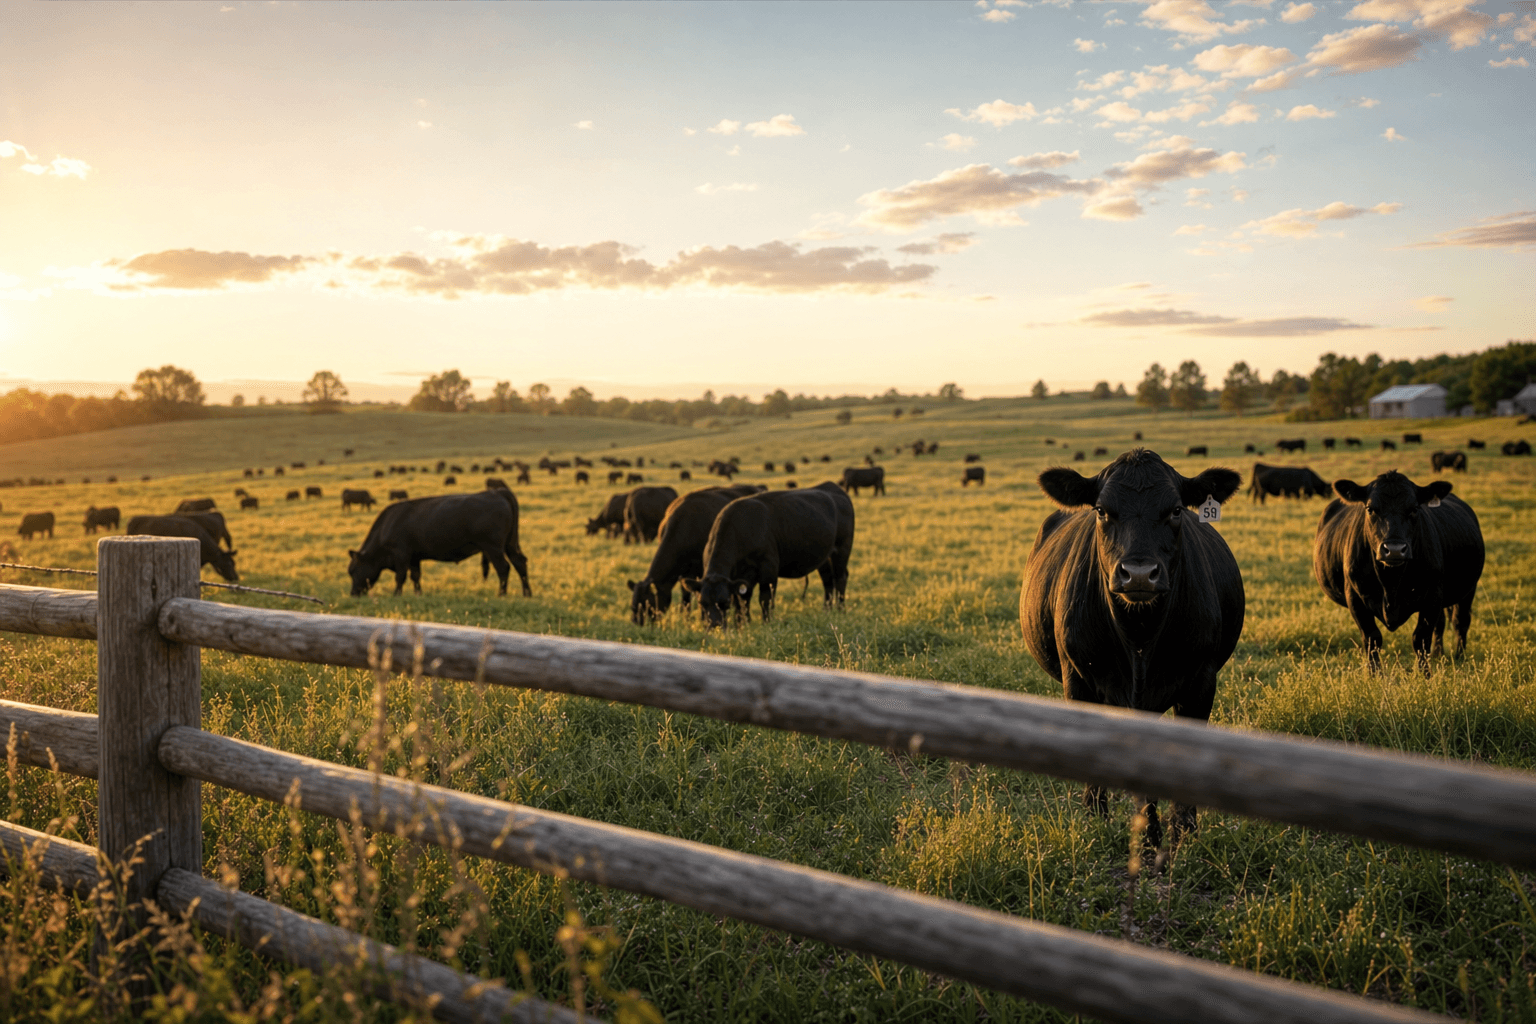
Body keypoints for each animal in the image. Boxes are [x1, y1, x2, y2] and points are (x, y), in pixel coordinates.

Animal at [347, 490, 531, 598]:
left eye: (353, 571)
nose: (353, 593)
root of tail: (496, 492)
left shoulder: (401, 554)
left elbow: (400, 576)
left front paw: (396, 594)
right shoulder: (414, 557)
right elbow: (415, 576)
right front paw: (418, 594)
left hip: (493, 547)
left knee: (503, 568)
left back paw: (502, 594)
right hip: (510, 544)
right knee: (520, 563)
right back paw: (527, 593)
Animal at [628, 484, 764, 624]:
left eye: (647, 605)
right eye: (633, 606)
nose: (636, 623)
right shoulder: (684, 574)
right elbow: (686, 595)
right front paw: (686, 618)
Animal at [682, 483, 855, 628]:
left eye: (725, 602)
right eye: (702, 603)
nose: (715, 626)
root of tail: (834, 487)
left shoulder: (768, 568)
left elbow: (765, 599)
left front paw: (766, 624)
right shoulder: (740, 576)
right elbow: (742, 600)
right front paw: (742, 625)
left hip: (842, 550)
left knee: (840, 578)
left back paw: (841, 611)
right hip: (824, 557)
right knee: (828, 581)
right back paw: (827, 611)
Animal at [1020, 449, 1244, 850]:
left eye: (1175, 510)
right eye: (1101, 510)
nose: (1138, 573)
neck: (1139, 635)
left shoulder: (1201, 682)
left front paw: (1179, 834)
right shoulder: (1078, 679)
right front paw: (1100, 820)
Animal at [1314, 471, 1483, 673]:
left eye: (1415, 509)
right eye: (1370, 509)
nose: (1394, 549)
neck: (1390, 583)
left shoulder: (1432, 595)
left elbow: (1421, 639)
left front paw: (1424, 675)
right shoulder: (1355, 597)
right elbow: (1372, 639)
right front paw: (1375, 675)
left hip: (1469, 589)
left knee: (1460, 621)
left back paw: (1459, 657)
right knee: (1442, 623)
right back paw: (1438, 655)